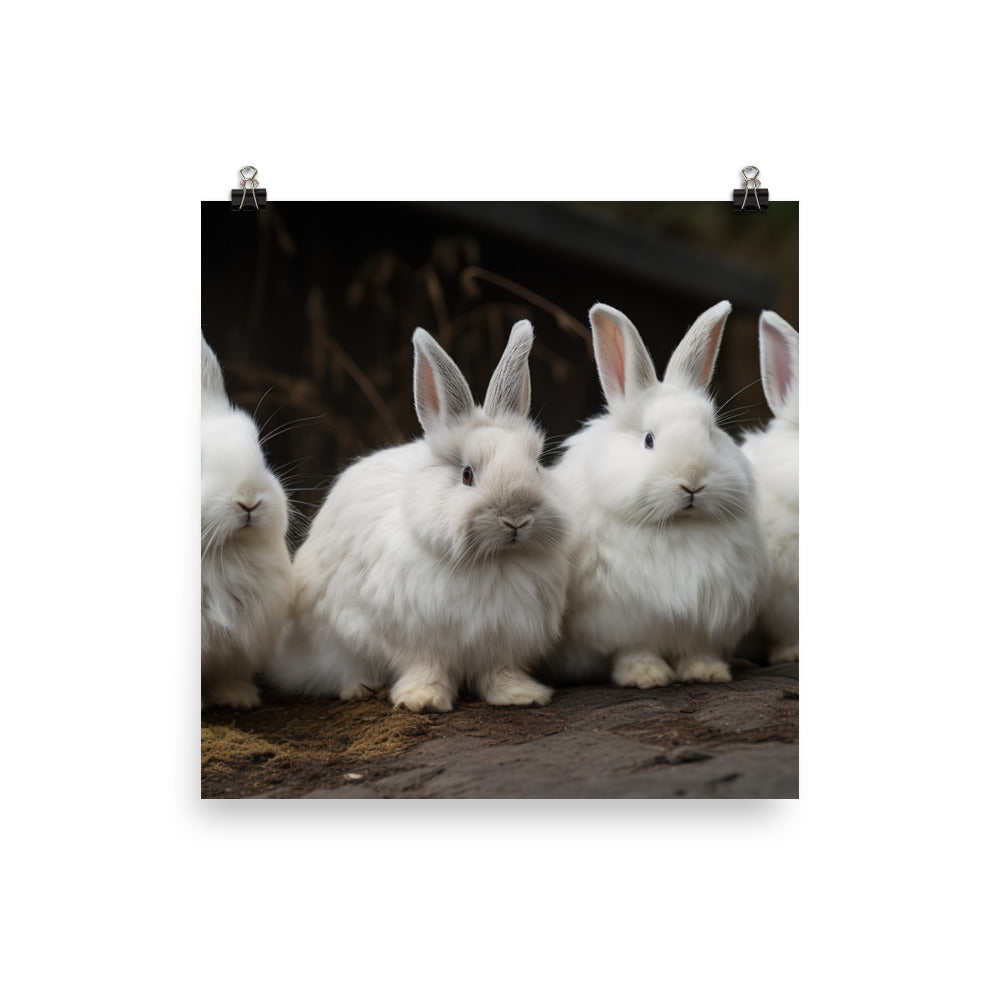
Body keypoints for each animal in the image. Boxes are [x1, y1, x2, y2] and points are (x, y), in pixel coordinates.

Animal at [267, 321, 571, 714]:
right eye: (467, 475)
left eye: (535, 467)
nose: (516, 519)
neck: (492, 562)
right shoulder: (416, 637)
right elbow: (426, 666)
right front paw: (422, 700)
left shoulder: (504, 640)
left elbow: (498, 671)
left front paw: (520, 695)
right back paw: (359, 688)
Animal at [549, 301, 768, 688]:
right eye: (649, 440)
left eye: (711, 433)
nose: (692, 481)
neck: (678, 526)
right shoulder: (621, 623)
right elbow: (635, 650)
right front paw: (647, 675)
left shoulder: (701, 624)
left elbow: (695, 650)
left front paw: (706, 672)